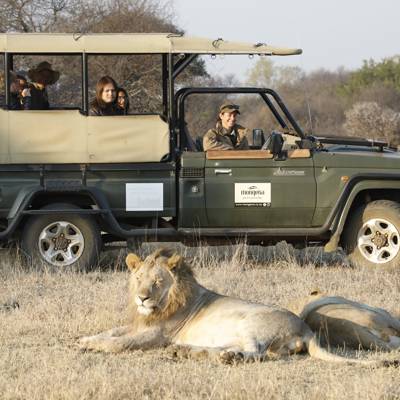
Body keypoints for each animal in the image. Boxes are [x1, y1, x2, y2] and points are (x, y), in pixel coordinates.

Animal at [78, 249, 396, 365]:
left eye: (157, 281)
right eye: (139, 279)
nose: (142, 298)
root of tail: (306, 330)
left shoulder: (158, 334)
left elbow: (121, 343)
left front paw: (97, 346)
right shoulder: (140, 324)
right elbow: (112, 332)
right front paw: (84, 340)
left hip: (249, 324)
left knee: (256, 353)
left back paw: (228, 358)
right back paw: (189, 352)